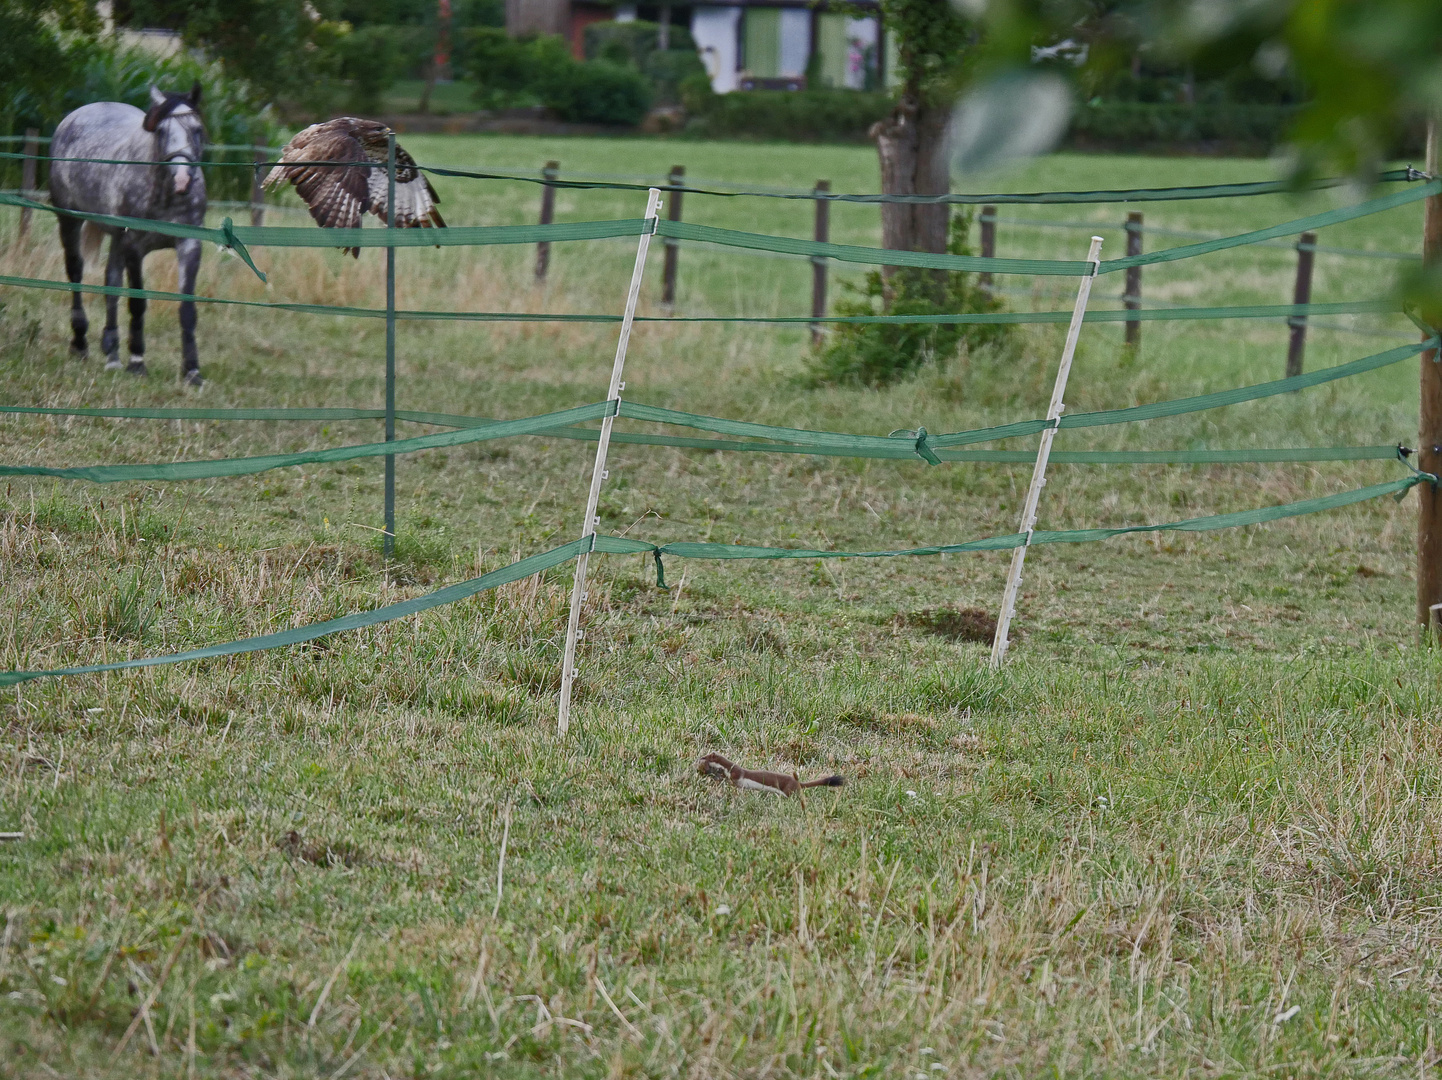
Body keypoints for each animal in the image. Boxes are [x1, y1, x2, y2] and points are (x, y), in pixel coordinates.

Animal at [50, 85, 206, 386]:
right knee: (75, 272)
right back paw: (80, 344)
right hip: (70, 221)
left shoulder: (189, 245)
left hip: (116, 240)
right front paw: (137, 362)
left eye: (198, 129)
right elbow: (137, 302)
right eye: (161, 131)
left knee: (111, 282)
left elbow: (187, 309)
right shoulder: (135, 245)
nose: (182, 180)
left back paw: (111, 354)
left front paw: (192, 371)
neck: (164, 193)